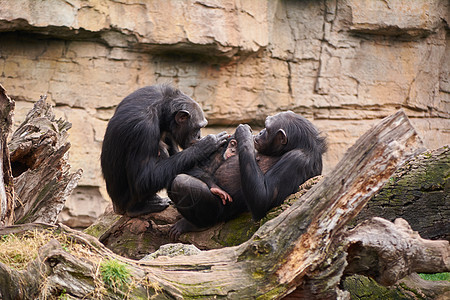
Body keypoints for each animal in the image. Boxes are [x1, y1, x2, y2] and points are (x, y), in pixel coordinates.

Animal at [100, 85, 230, 217]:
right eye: (197, 127)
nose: (199, 136)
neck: (160, 111)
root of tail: (117, 208)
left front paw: (212, 184)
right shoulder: (144, 129)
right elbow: (142, 178)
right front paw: (206, 145)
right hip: (126, 203)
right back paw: (142, 207)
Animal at [167, 110, 326, 239]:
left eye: (267, 129)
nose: (260, 132)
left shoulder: (297, 159)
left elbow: (263, 199)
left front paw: (245, 135)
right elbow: (196, 166)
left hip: (222, 213)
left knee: (182, 183)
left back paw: (194, 224)